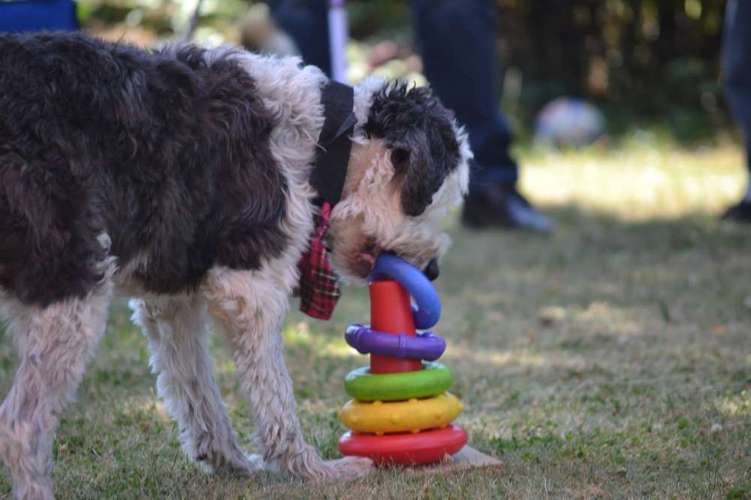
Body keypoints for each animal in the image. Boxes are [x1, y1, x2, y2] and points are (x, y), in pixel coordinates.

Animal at [0, 33, 470, 498]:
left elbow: (196, 389)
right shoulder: (250, 287)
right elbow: (275, 395)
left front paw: (229, 461)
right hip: (69, 291)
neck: (320, 136)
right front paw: (310, 470)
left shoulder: (172, 297)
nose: (432, 271)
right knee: (20, 425)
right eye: (430, 203)